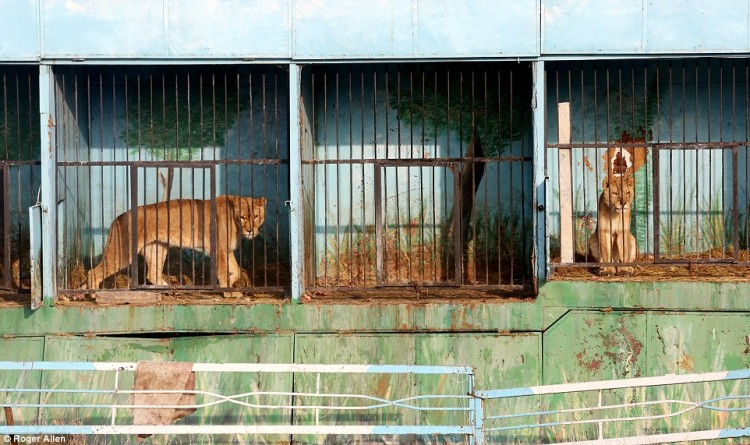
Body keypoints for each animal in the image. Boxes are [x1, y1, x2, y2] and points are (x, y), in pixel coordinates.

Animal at [87, 193, 268, 294]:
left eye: (256, 216)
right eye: (243, 217)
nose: (250, 231)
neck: (235, 223)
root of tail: (118, 218)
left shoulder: (226, 249)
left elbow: (237, 270)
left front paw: (229, 285)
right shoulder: (219, 249)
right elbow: (224, 272)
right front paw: (229, 292)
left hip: (157, 249)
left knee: (152, 274)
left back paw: (169, 288)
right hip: (123, 252)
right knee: (92, 273)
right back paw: (93, 295)